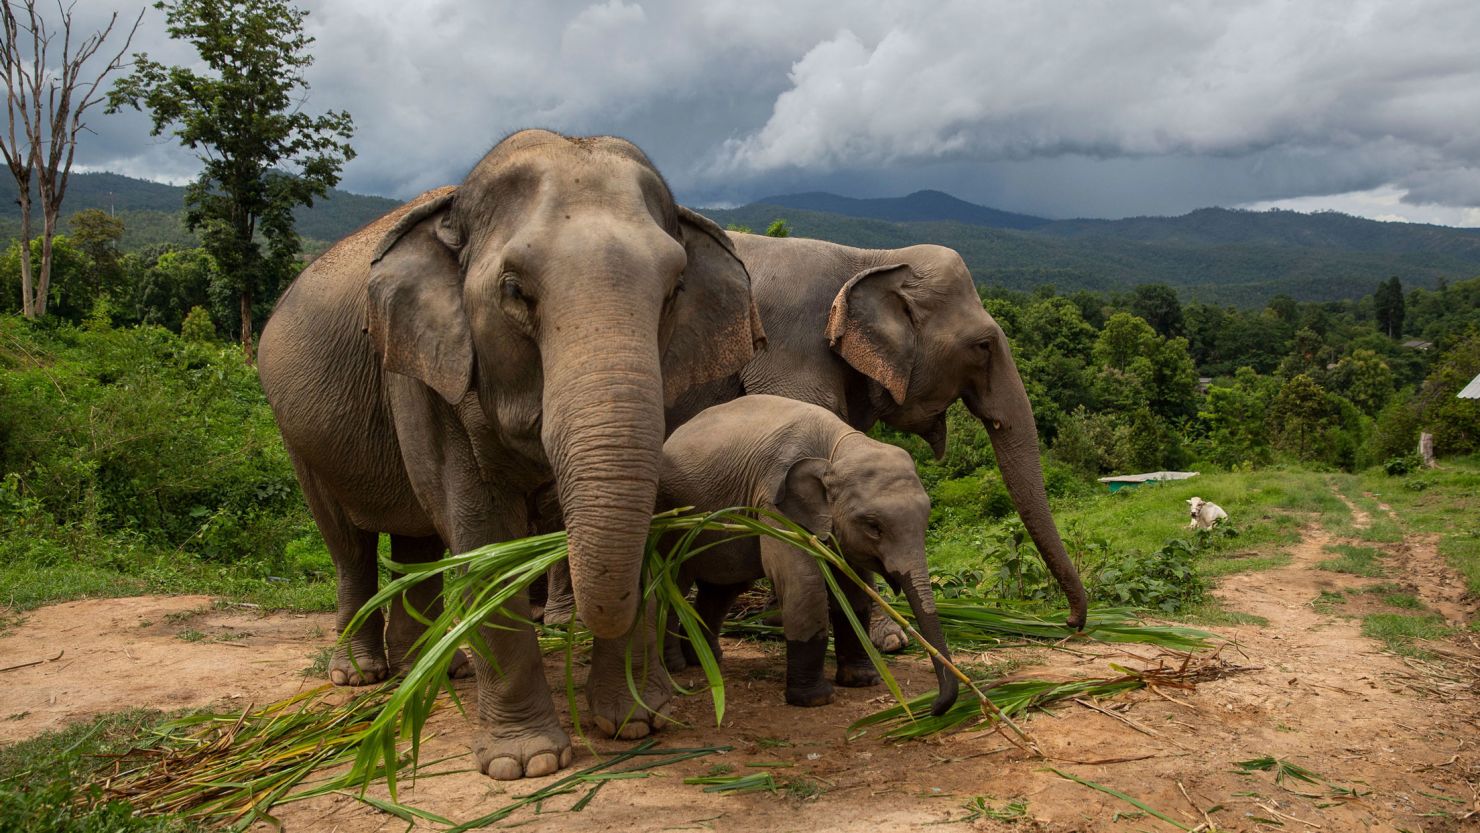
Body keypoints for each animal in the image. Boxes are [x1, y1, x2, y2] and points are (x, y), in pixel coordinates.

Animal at [257, 130, 763, 781]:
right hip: (296, 434)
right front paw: (526, 763)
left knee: (419, 546)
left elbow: (646, 519)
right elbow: (486, 538)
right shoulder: (430, 374)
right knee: (349, 545)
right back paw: (361, 675)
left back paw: (437, 671)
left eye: (675, 290)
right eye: (516, 291)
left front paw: (635, 723)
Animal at [660, 396, 959, 716]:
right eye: (873, 527)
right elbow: (804, 584)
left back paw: (706, 659)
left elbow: (854, 591)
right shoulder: (773, 501)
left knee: (723, 588)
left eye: (926, 519)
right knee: (674, 582)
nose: (933, 708)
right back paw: (676, 666)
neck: (837, 448)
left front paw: (862, 681)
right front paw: (816, 699)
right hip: (672, 522)